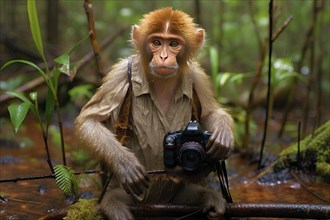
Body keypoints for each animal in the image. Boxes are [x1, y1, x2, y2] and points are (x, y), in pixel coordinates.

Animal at [76, 7, 233, 220]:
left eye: (173, 43)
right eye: (157, 42)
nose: (164, 57)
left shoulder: (197, 75)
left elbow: (210, 112)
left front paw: (223, 134)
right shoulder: (119, 73)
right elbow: (89, 119)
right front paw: (124, 163)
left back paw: (209, 197)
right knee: (115, 199)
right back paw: (115, 206)